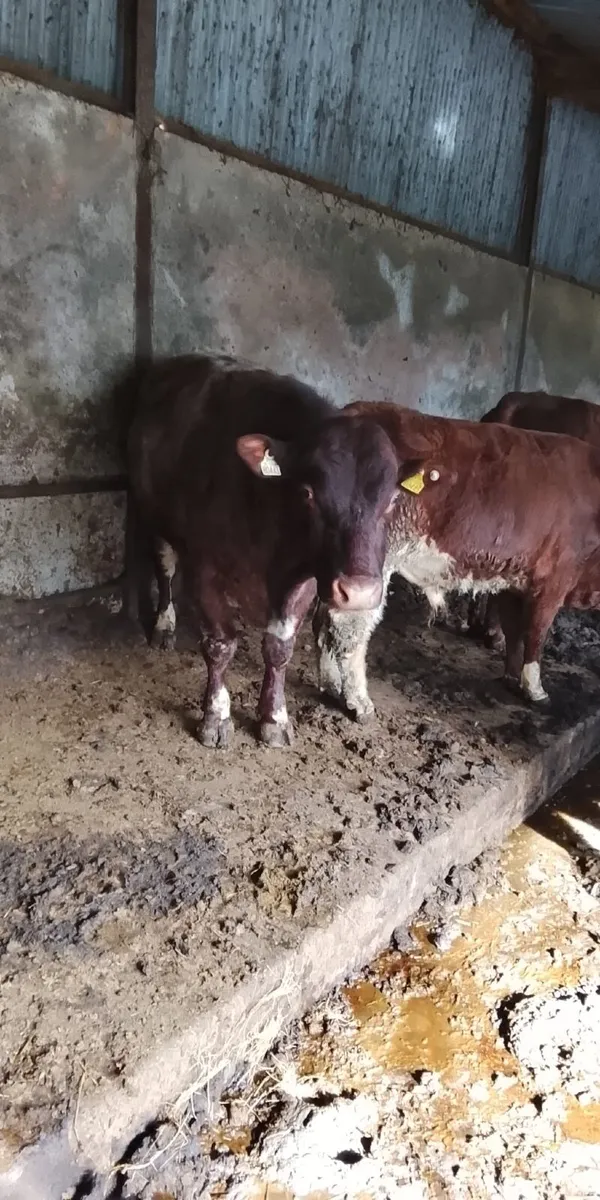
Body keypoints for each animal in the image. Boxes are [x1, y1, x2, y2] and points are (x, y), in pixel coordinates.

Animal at [127, 356, 399, 749]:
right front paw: (216, 717)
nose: (359, 591)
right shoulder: (204, 571)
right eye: (307, 492)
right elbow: (220, 645)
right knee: (164, 569)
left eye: (393, 499)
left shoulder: (304, 581)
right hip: (153, 514)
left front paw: (274, 718)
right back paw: (164, 626)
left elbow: (279, 649)